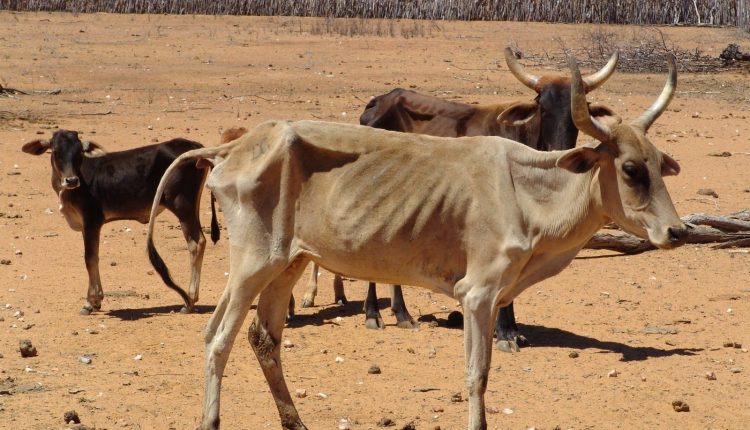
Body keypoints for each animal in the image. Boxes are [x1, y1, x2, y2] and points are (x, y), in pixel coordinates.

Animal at [23, 129, 217, 314]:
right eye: (56, 152)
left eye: (79, 153)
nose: (71, 180)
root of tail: (193, 146)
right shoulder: (86, 226)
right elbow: (93, 257)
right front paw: (96, 302)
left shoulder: (92, 220)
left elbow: (90, 258)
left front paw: (90, 302)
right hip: (191, 205)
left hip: (182, 206)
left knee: (196, 242)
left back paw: (189, 301)